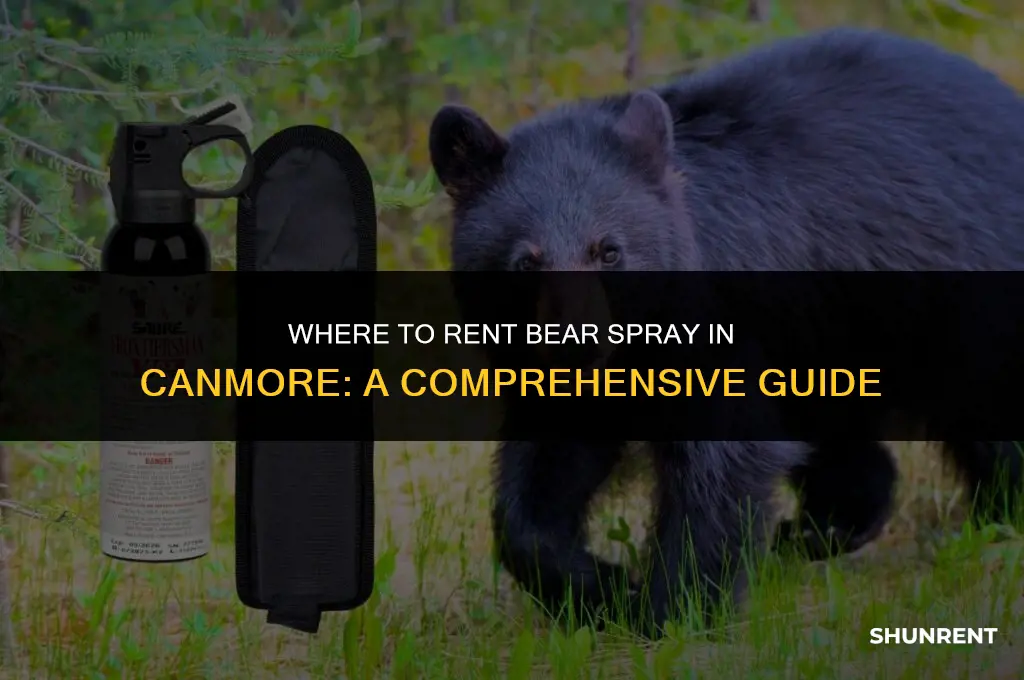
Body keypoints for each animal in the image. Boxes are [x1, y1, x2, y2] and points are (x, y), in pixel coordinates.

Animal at [428, 27, 1024, 637]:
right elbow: (539, 481)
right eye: (526, 261)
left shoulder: (715, 320)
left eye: (609, 250)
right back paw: (818, 531)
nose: (577, 347)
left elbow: (725, 456)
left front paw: (673, 609)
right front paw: (599, 587)